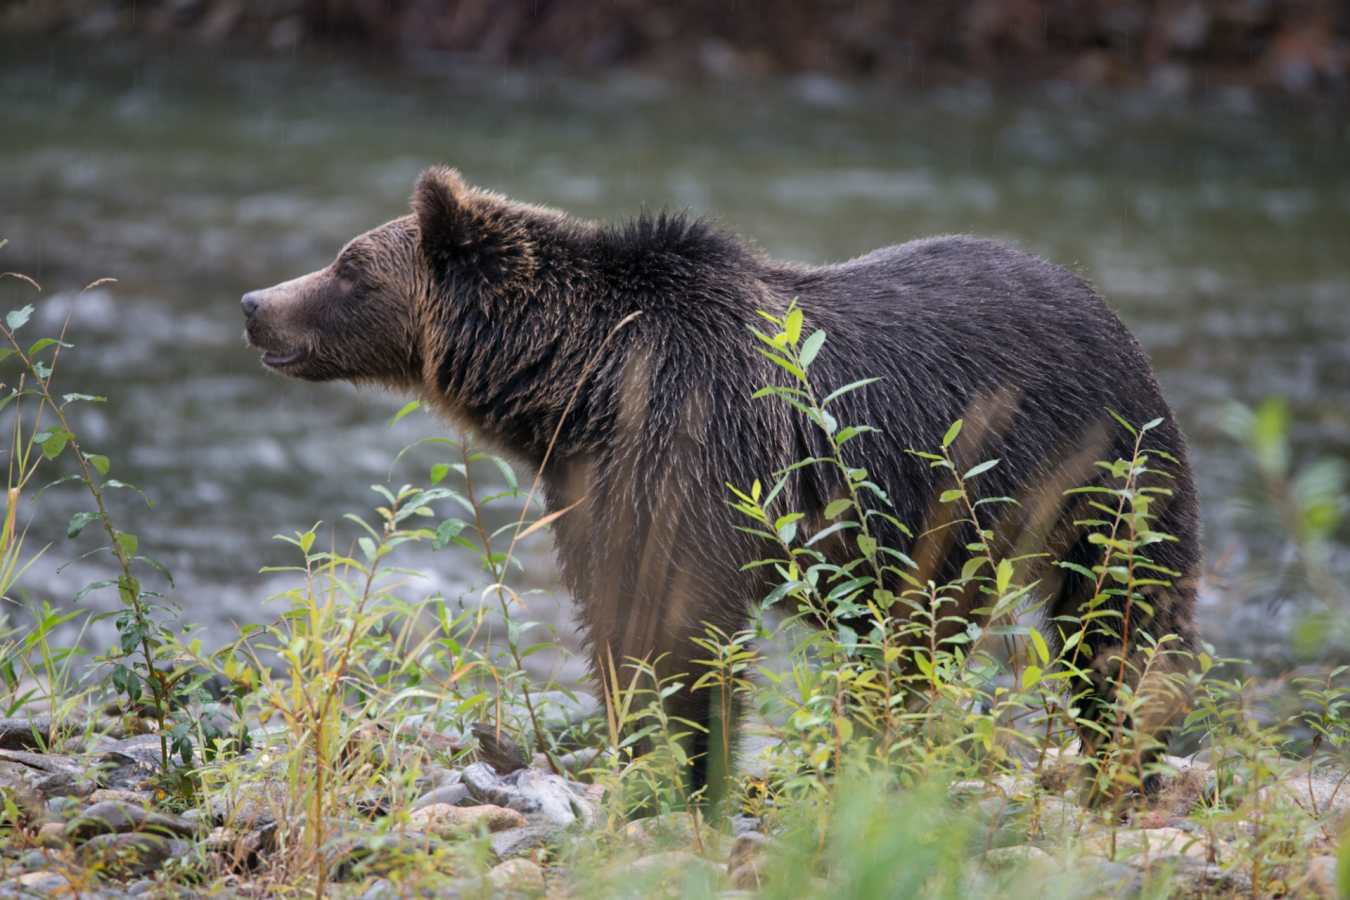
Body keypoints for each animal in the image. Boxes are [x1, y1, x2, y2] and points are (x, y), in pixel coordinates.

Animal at [242, 166, 1201, 801]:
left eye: (348, 265)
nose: (255, 304)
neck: (587, 380)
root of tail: (1107, 308)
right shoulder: (595, 484)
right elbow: (617, 621)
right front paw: (638, 756)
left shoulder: (693, 442)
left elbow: (685, 626)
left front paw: (697, 769)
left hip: (1078, 462)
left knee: (1119, 610)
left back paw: (1129, 749)